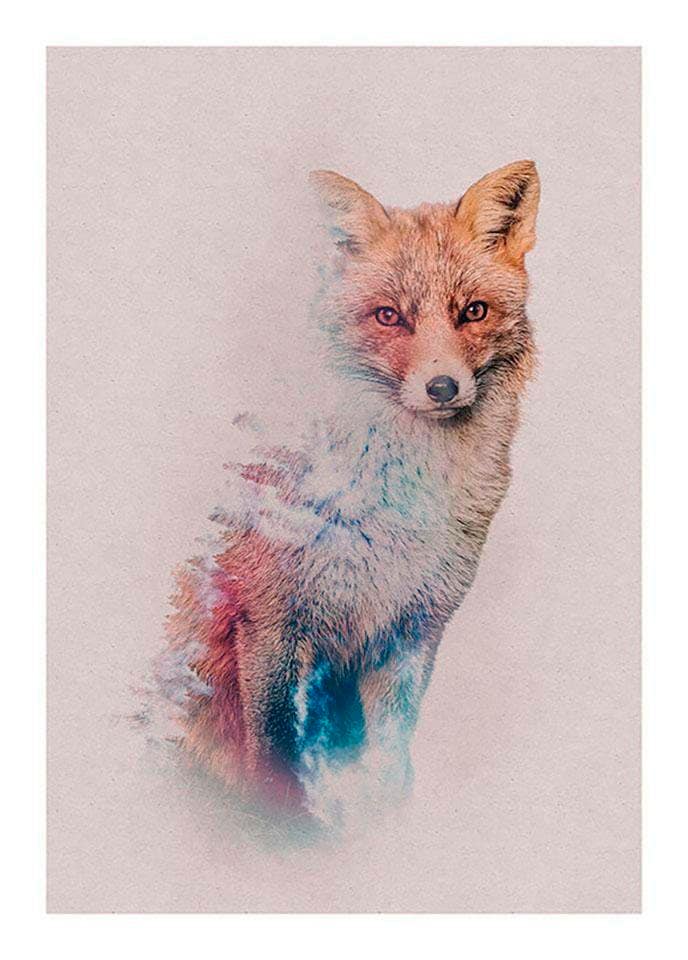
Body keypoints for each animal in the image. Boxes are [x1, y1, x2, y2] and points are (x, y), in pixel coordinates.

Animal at [154, 160, 540, 826]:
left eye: (473, 311)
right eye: (389, 316)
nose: (443, 387)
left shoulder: (411, 630)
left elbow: (389, 762)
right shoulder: (269, 623)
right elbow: (276, 762)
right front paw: (283, 833)